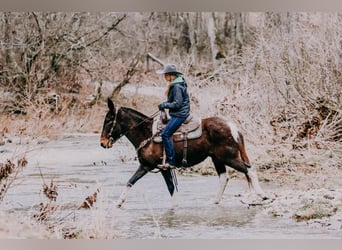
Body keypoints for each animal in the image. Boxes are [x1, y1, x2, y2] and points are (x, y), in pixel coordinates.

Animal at [100, 98, 266, 208]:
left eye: (108, 120)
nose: (102, 143)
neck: (146, 134)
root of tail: (232, 127)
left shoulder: (152, 167)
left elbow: (134, 181)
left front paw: (119, 202)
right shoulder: (156, 168)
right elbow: (167, 188)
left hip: (229, 157)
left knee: (249, 170)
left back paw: (262, 195)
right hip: (217, 159)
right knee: (224, 178)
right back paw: (215, 201)